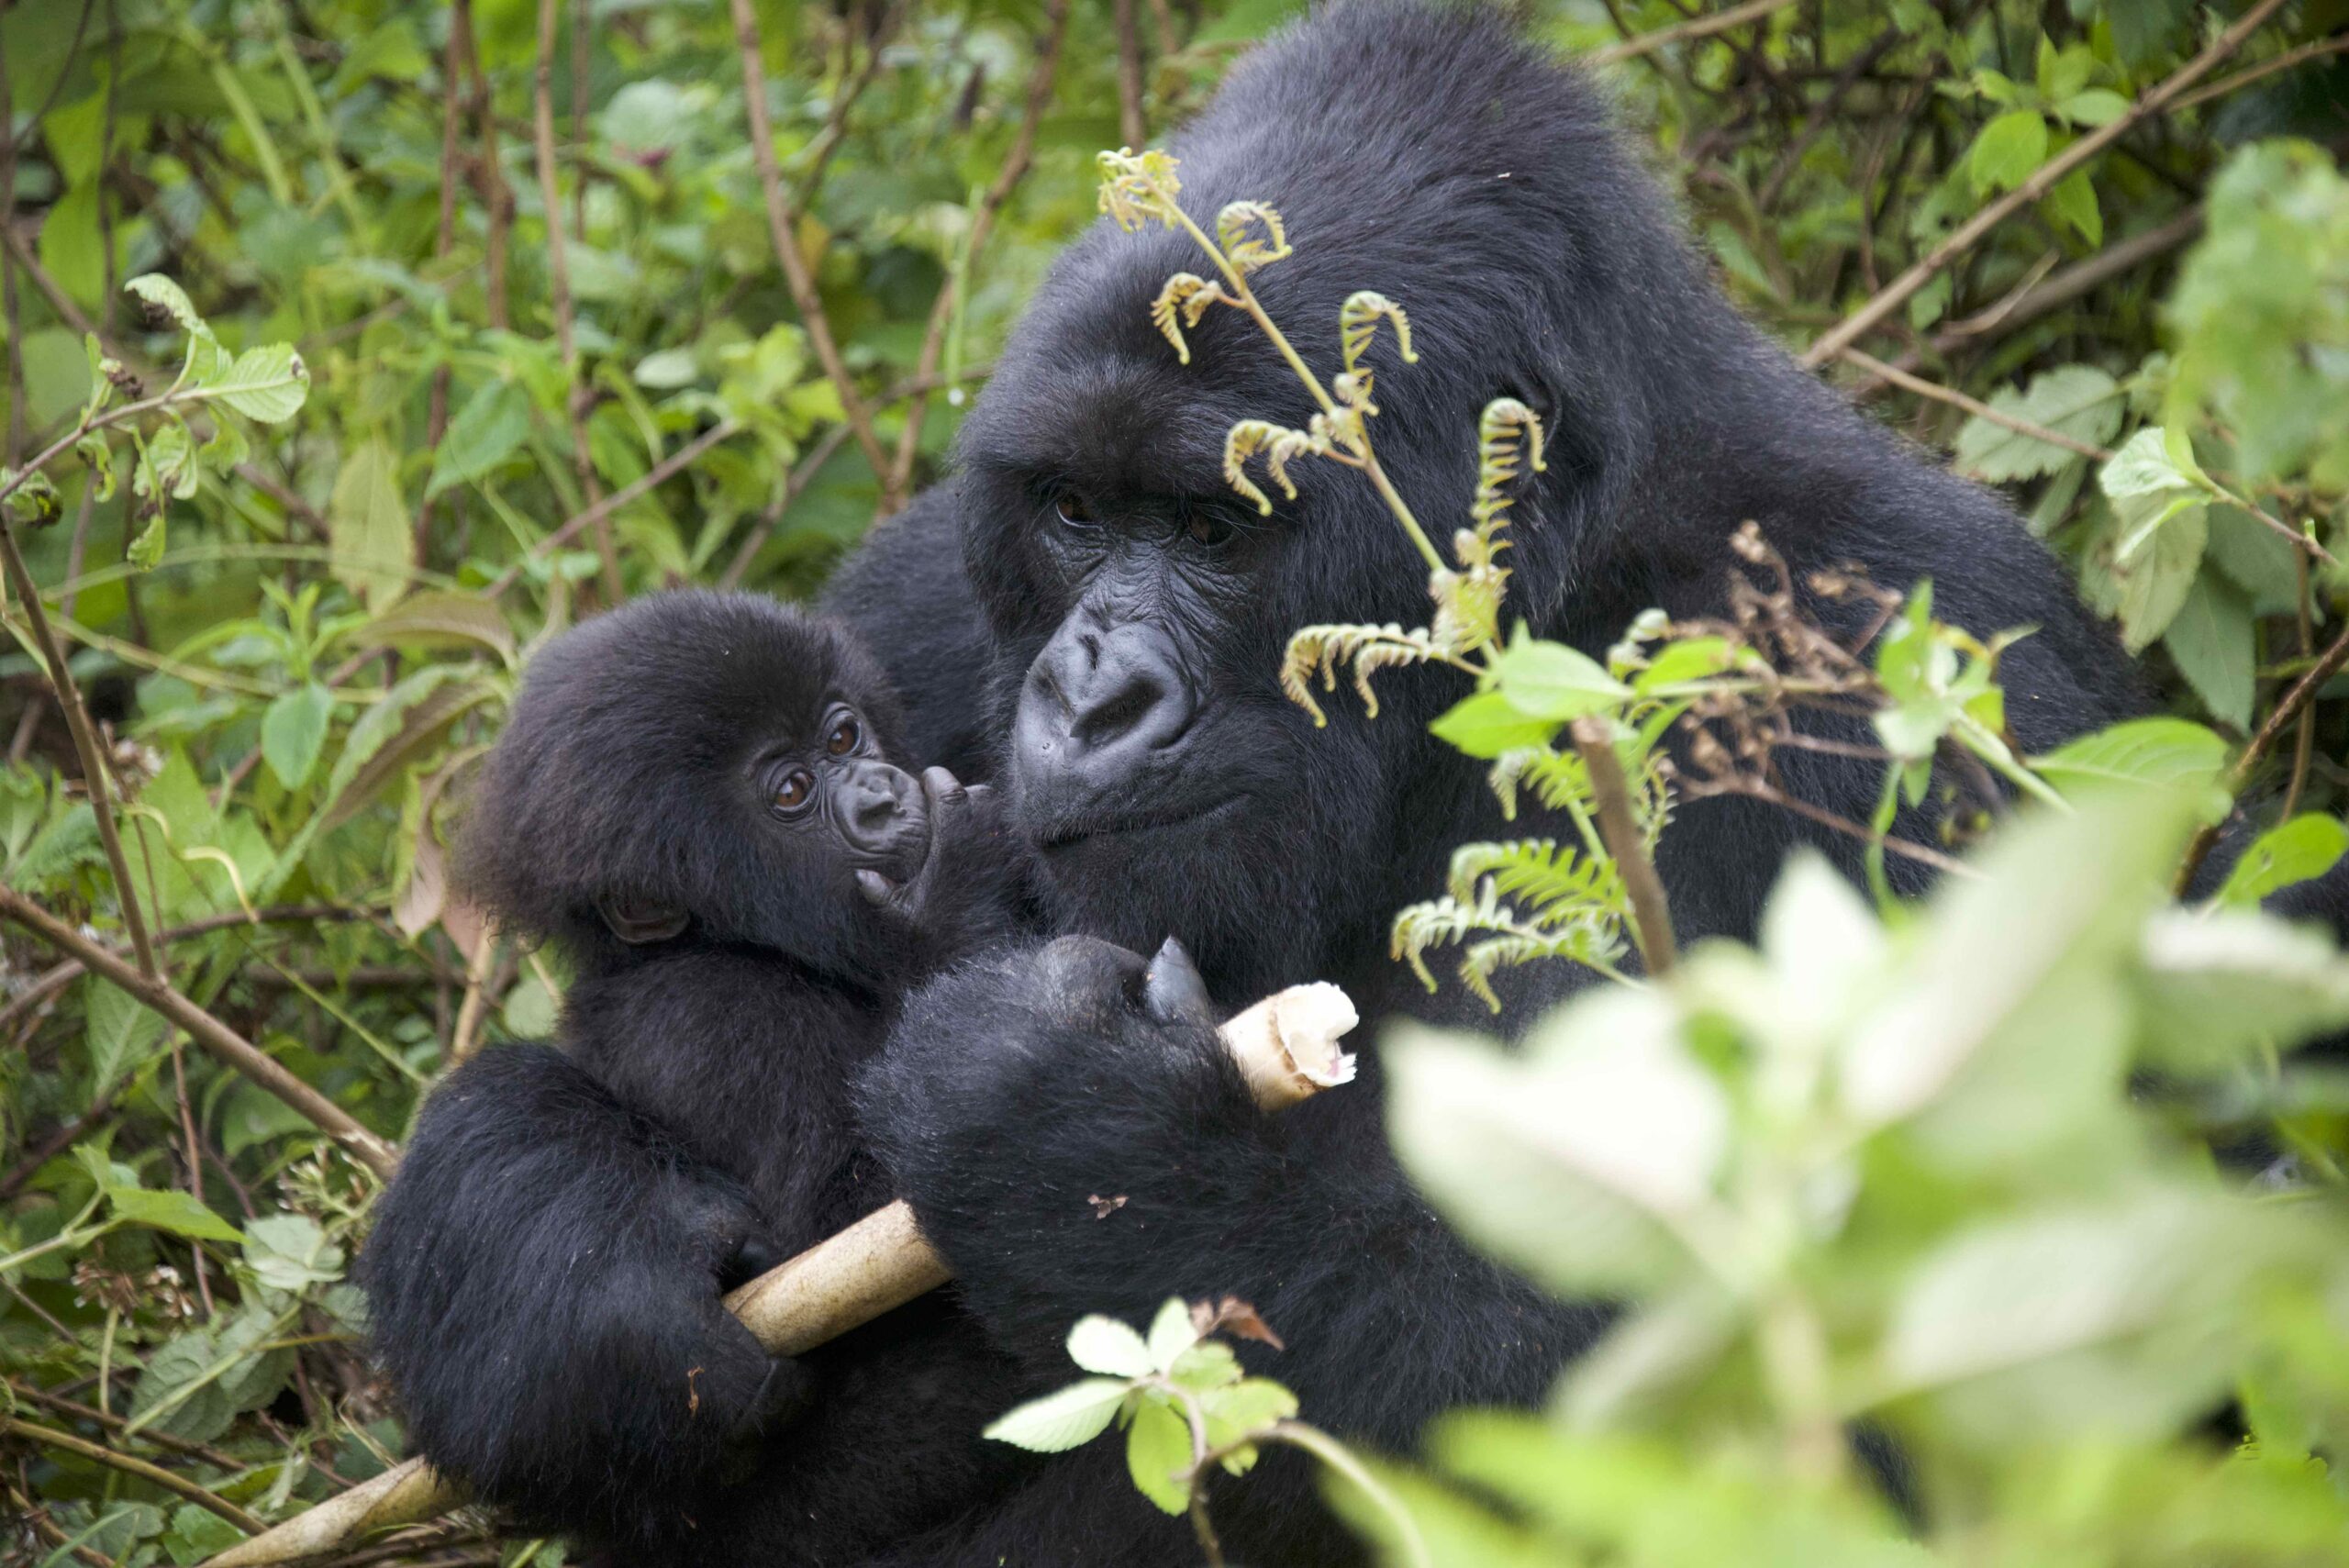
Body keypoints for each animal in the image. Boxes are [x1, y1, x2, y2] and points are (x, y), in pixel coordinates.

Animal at [362, 586, 1024, 1558]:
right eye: (791, 792)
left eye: (843, 736)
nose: (878, 793)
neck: (718, 940)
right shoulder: (716, 1018)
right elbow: (864, 1225)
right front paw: (957, 893)